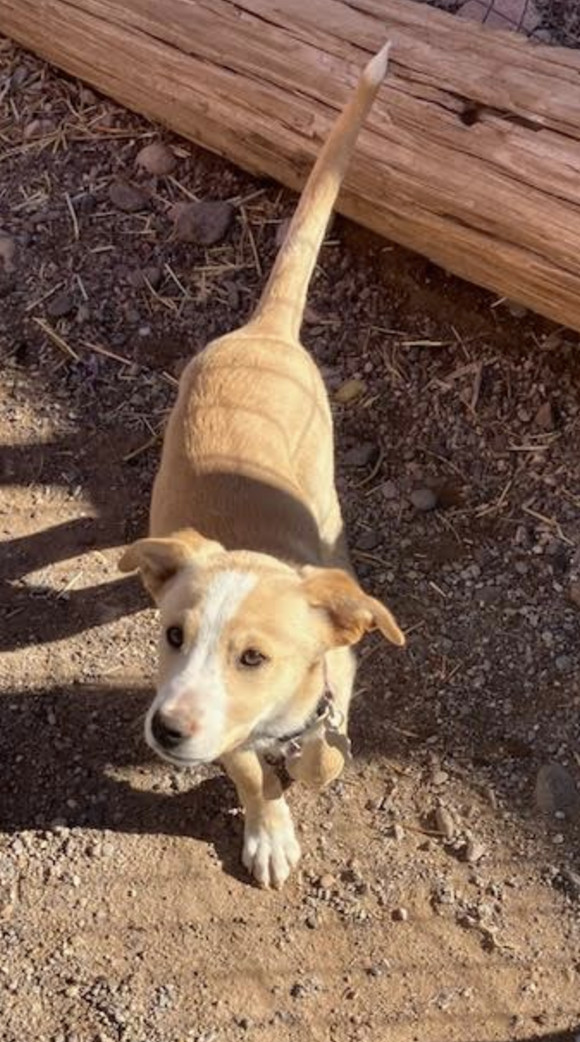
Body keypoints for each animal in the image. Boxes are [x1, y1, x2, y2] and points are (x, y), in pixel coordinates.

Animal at [119, 42, 404, 887]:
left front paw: (308, 768)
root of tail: (264, 332)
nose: (166, 730)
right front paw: (269, 828)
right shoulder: (227, 736)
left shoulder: (336, 691)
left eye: (253, 656)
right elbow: (249, 768)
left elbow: (325, 754)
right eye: (172, 635)